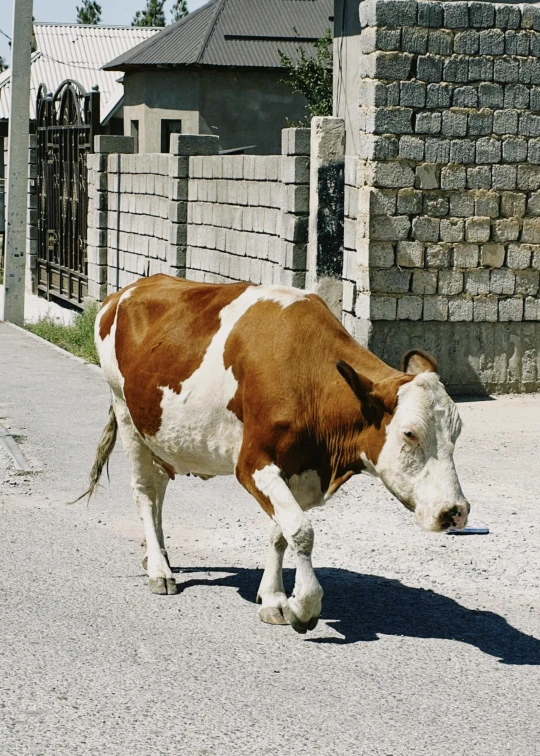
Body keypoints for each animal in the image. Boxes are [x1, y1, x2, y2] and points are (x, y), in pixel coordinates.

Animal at [84, 274, 468, 636]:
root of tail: (126, 291)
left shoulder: (299, 471)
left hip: (160, 431)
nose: (454, 511)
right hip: (125, 411)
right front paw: (303, 606)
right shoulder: (253, 464)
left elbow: (280, 533)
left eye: (458, 432)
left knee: (160, 484)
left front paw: (273, 598)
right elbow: (301, 530)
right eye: (409, 433)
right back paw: (159, 570)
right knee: (145, 492)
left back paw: (156, 553)